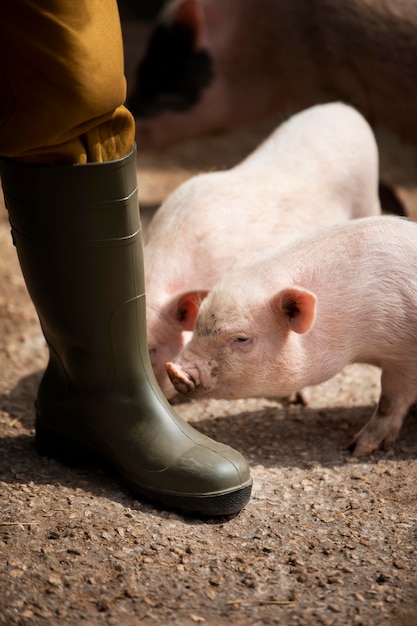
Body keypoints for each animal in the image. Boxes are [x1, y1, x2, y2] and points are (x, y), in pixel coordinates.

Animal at [166, 214, 416, 454]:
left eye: (241, 339)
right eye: (197, 325)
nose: (174, 370)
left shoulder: (403, 358)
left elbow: (389, 401)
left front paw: (355, 450)